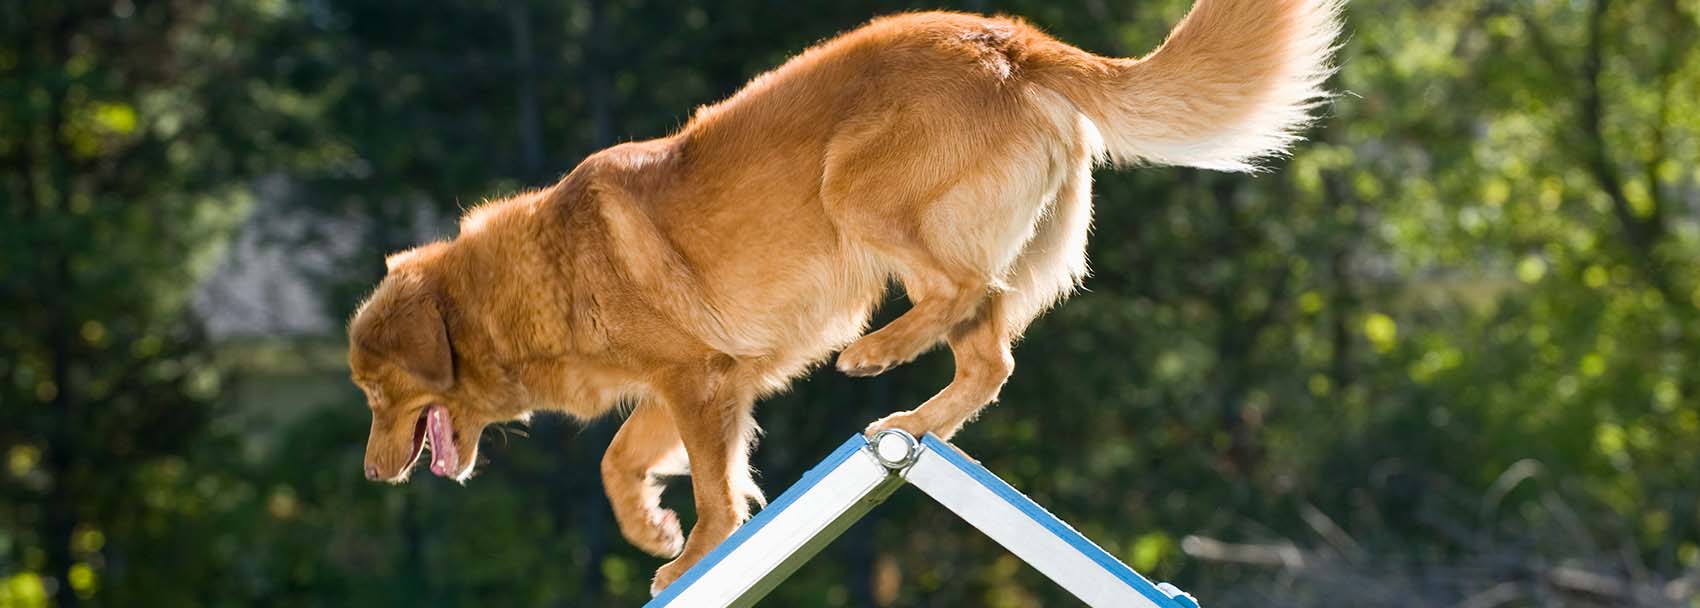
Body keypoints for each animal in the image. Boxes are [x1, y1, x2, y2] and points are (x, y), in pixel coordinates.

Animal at [348, 0, 1339, 594]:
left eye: (374, 392)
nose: (371, 476)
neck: (528, 280)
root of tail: (1012, 41)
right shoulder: (704, 381)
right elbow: (620, 461)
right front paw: (654, 530)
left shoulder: (699, 382)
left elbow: (715, 489)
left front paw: (695, 551)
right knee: (990, 353)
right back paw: (914, 422)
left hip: (854, 192)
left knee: (965, 291)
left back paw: (877, 353)